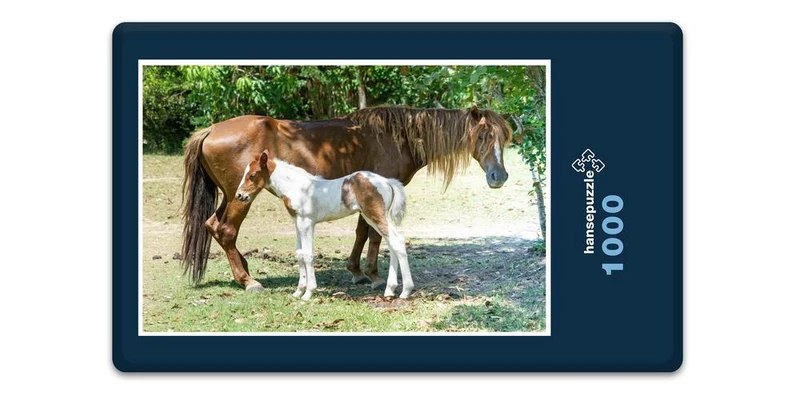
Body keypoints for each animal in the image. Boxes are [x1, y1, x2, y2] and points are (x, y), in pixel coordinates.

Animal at [235, 149, 412, 300]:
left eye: (253, 175)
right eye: (244, 174)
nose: (240, 195)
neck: (296, 187)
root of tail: (387, 181)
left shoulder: (306, 223)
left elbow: (307, 255)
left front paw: (308, 293)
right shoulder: (297, 223)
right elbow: (300, 254)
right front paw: (298, 292)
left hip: (375, 216)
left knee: (397, 241)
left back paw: (406, 291)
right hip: (372, 218)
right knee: (392, 243)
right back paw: (390, 290)